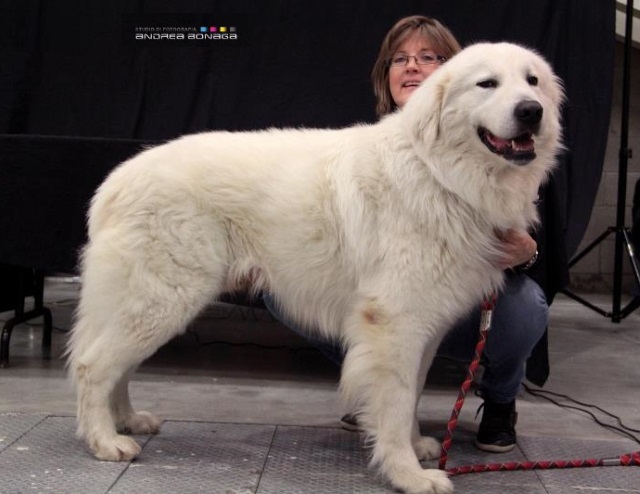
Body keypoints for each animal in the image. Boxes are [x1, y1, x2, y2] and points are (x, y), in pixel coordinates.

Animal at [67, 42, 563, 494]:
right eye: (487, 84)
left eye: (532, 81)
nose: (531, 111)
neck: (440, 174)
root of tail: (117, 179)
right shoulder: (394, 324)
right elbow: (396, 401)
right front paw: (408, 475)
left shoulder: (423, 326)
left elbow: (413, 393)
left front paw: (414, 447)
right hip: (164, 299)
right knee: (93, 367)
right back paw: (105, 441)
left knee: (116, 368)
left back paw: (127, 421)